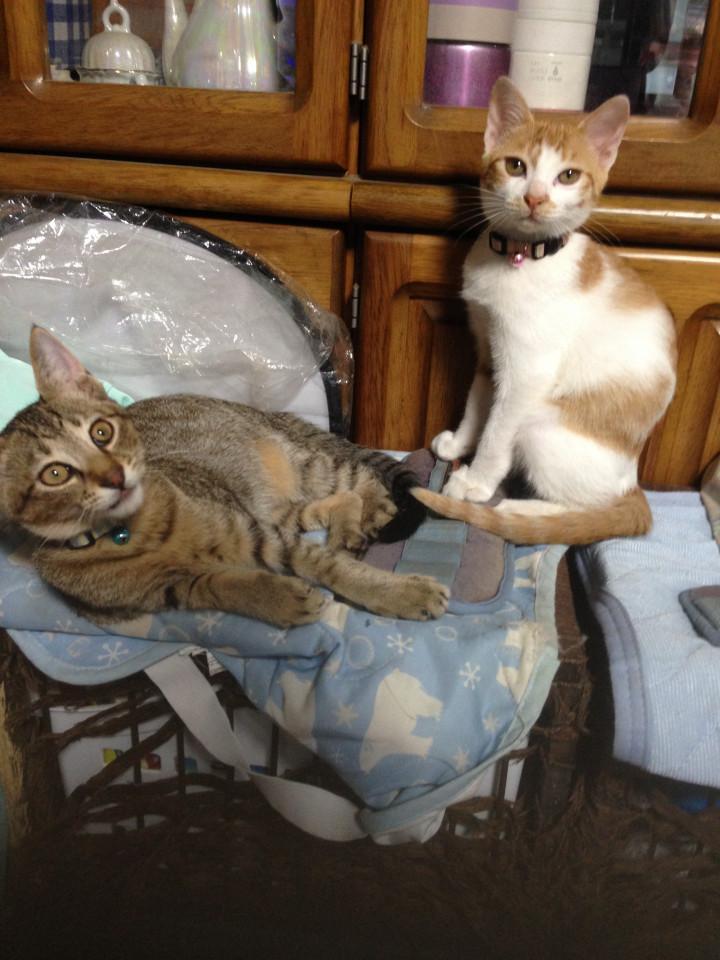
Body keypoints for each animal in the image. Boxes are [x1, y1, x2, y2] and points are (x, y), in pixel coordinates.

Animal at [0, 327, 449, 628]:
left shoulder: (259, 535)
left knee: (362, 480)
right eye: (55, 474)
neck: (126, 532)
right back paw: (347, 531)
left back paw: (371, 514)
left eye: (101, 432)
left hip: (302, 468)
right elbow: (228, 586)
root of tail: (263, 411)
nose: (115, 476)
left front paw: (403, 593)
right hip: (267, 502)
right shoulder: (174, 589)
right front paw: (280, 599)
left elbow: (332, 568)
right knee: (334, 501)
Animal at [413, 77, 677, 545]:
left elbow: (498, 428)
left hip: (540, 423)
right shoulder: (488, 345)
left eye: (568, 175)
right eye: (515, 166)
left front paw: (475, 481)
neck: (519, 256)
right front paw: (460, 443)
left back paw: (520, 511)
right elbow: (478, 399)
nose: (535, 198)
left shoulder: (527, 372)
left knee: (584, 512)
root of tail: (633, 483)